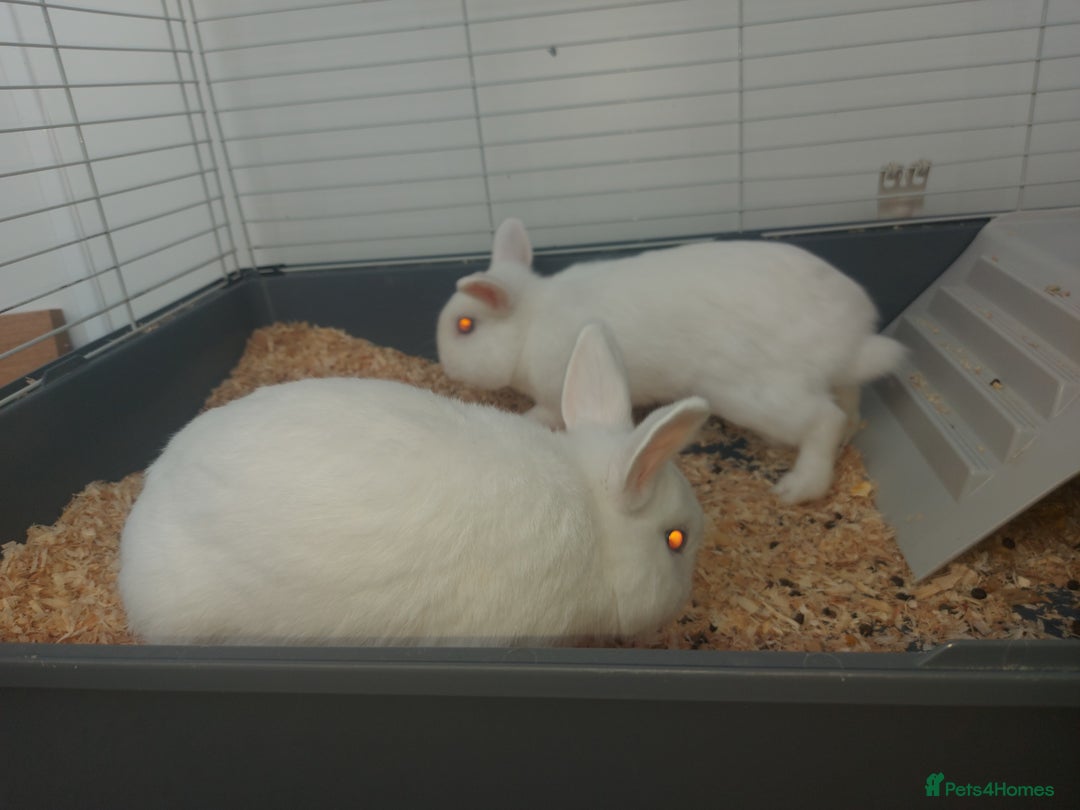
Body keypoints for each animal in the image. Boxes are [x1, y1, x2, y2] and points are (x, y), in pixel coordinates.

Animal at [437, 218, 906, 505]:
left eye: (465, 325)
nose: (444, 362)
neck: (530, 322)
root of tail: (847, 341)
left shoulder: (555, 393)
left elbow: (544, 414)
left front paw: (525, 420)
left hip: (756, 395)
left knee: (823, 420)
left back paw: (799, 487)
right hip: (831, 382)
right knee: (847, 403)